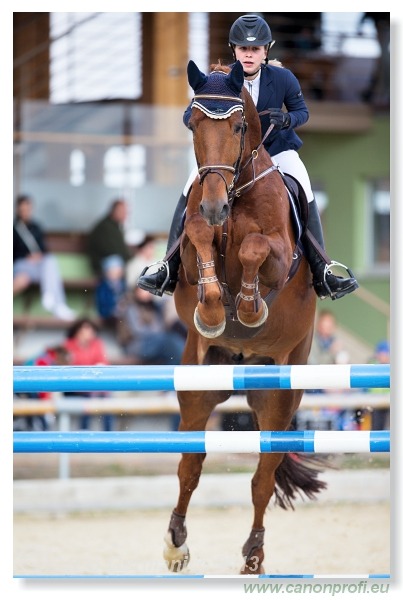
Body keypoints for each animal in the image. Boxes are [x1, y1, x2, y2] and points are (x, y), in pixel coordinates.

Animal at [164, 61, 326, 576]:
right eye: (193, 124)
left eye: (238, 127)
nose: (216, 204)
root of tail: (242, 366)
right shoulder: (193, 250)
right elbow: (198, 236)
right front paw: (215, 309)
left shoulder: (279, 256)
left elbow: (256, 248)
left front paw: (251, 307)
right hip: (198, 387)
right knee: (190, 466)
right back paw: (175, 543)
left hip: (279, 397)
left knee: (262, 479)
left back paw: (254, 554)